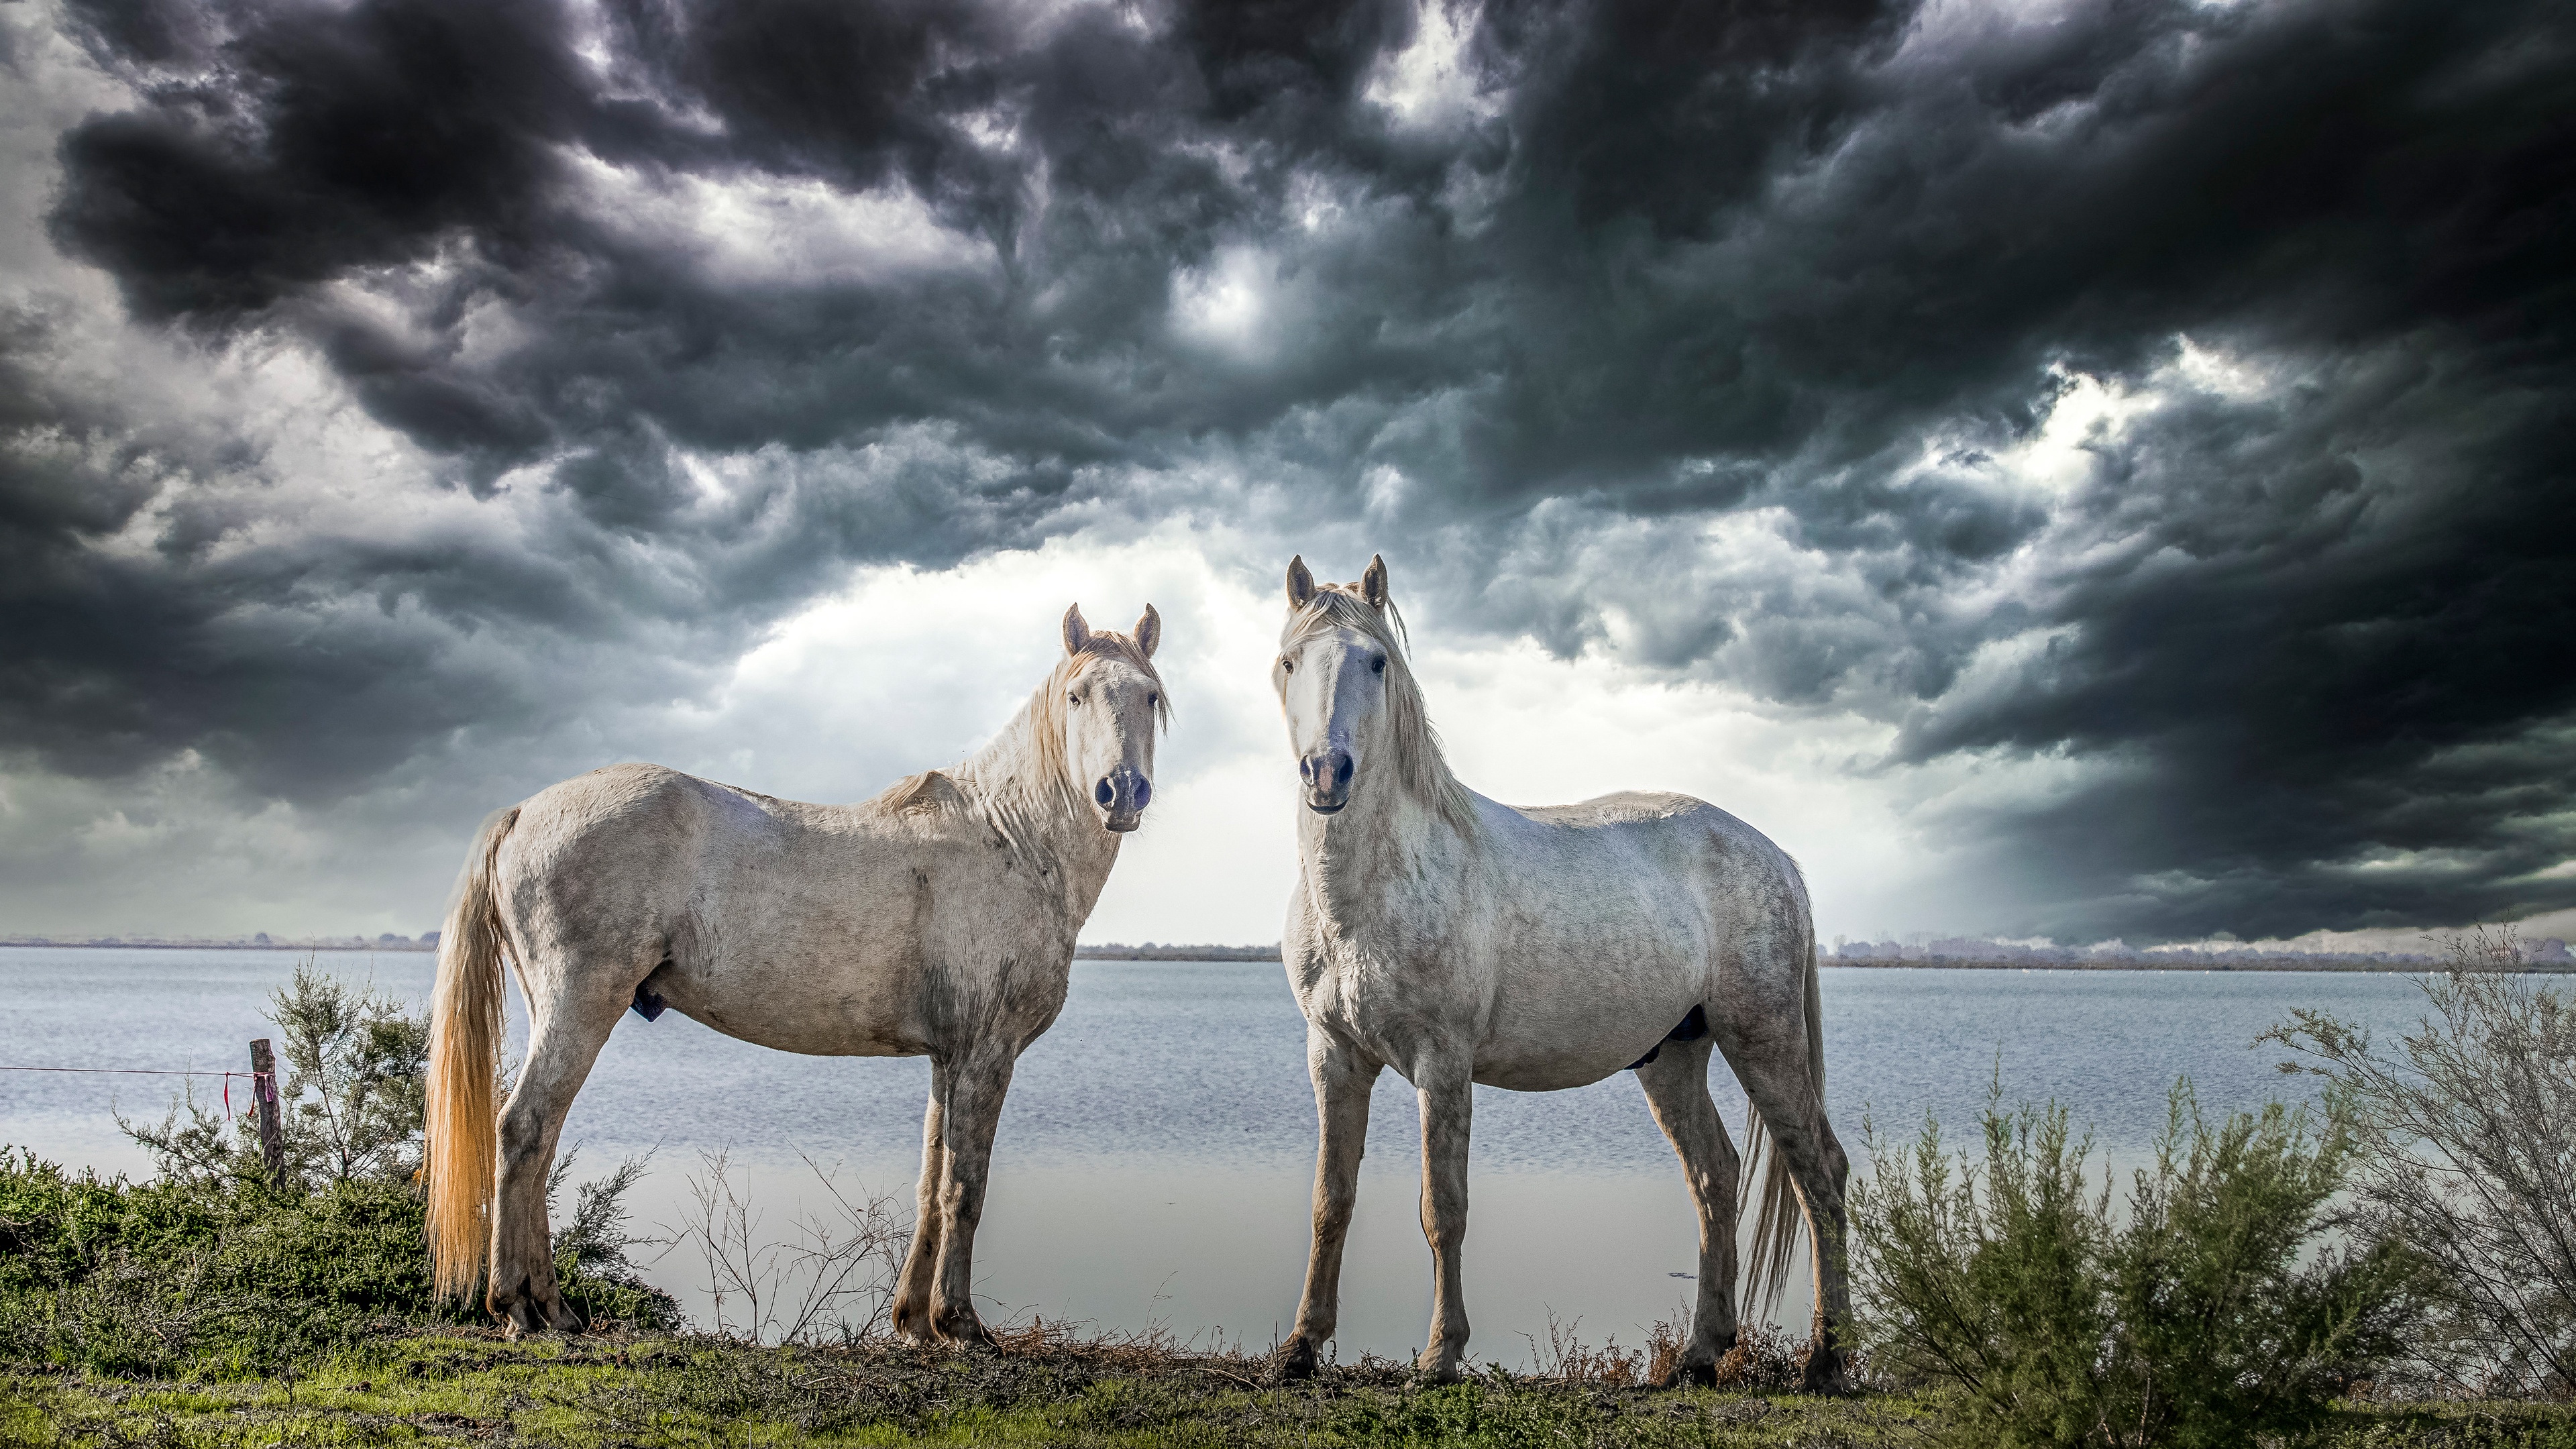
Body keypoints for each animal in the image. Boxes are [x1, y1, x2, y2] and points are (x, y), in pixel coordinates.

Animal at [427, 598, 1175, 1330]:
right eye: (1076, 696)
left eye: (1150, 696)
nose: (1122, 791)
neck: (1011, 839)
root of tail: (523, 811)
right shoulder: (986, 1053)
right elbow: (966, 1188)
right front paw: (958, 1323)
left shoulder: (950, 1057)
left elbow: (932, 1181)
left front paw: (913, 1319)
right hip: (578, 1006)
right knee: (523, 1130)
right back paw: (521, 1308)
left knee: (539, 1140)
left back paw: (549, 1307)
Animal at [1272, 554, 1854, 1392]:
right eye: (1291, 662)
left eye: (1376, 662)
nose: (1327, 772)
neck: (1375, 886)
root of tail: (1775, 856)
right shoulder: (1335, 1057)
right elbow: (1331, 1202)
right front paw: (1301, 1346)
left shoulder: (1440, 1066)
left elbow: (1443, 1209)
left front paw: (1439, 1356)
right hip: (1673, 1058)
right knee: (1716, 1177)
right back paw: (1700, 1355)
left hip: (1765, 1043)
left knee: (1820, 1176)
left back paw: (1826, 1358)